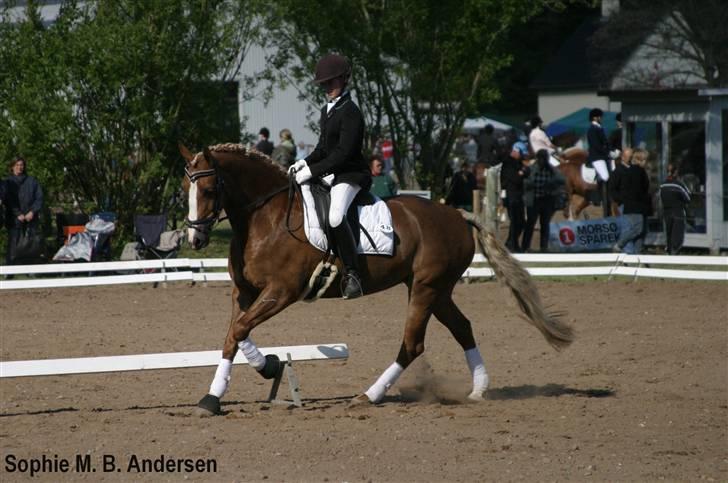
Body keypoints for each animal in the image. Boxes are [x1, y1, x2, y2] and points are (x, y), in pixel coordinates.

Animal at [179, 144, 572, 416]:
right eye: (186, 188)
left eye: (210, 190)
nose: (195, 239)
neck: (266, 219)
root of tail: (456, 214)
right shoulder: (244, 292)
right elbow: (233, 336)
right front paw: (218, 395)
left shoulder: (281, 291)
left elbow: (239, 330)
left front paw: (263, 371)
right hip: (435, 289)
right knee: (462, 327)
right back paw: (478, 390)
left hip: (426, 288)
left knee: (413, 344)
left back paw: (369, 395)